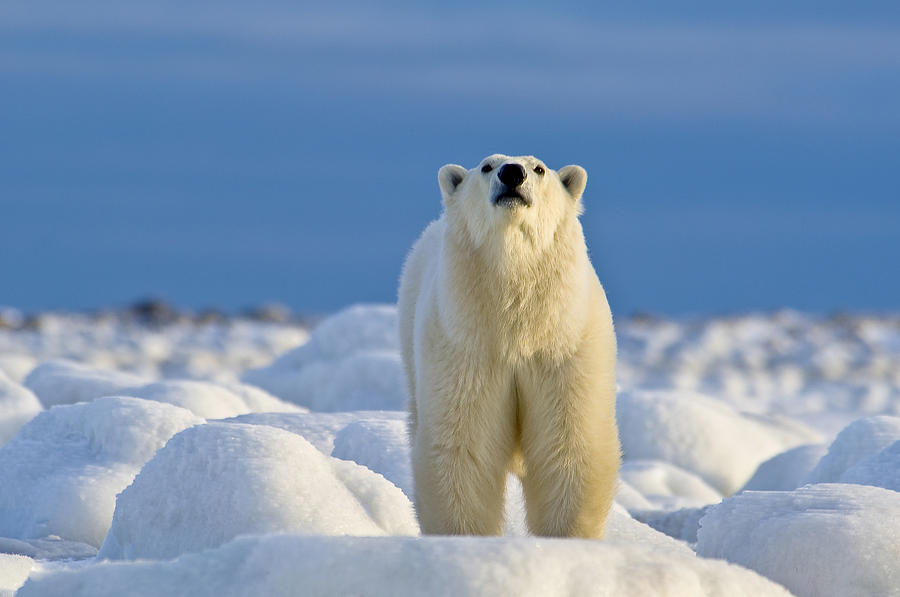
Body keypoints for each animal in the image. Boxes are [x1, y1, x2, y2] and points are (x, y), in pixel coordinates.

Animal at [400, 154, 620, 536]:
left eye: (540, 168)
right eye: (487, 166)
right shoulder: (467, 349)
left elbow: (570, 446)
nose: (512, 173)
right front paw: (463, 538)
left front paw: (566, 538)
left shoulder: (563, 348)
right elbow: (463, 446)